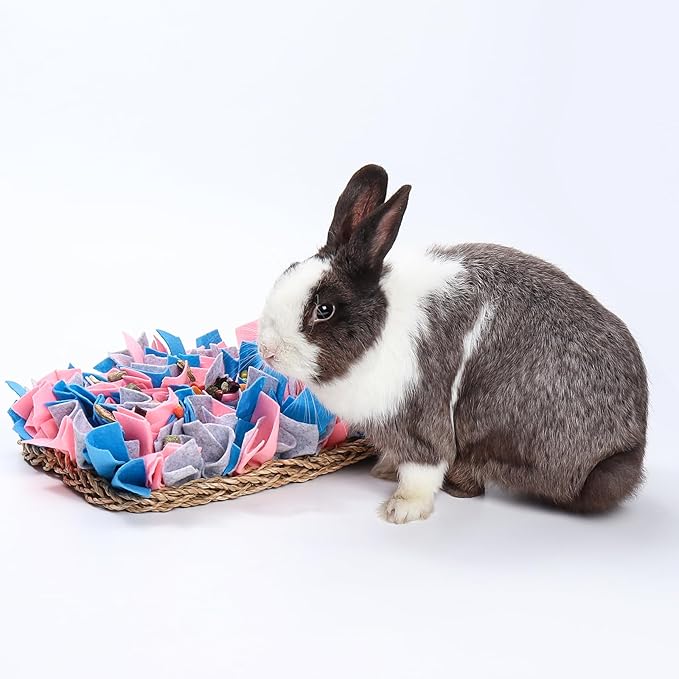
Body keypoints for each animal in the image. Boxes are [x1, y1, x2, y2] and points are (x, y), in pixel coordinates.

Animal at [258, 164, 648, 523]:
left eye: (324, 309)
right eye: (288, 270)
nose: (267, 350)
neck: (382, 328)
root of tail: (633, 447)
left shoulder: (420, 418)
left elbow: (423, 467)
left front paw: (401, 510)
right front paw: (384, 470)